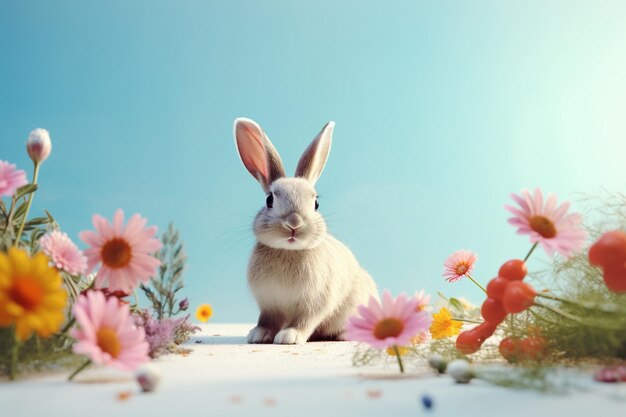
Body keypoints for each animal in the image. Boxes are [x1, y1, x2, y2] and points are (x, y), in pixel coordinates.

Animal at [233, 118, 376, 344]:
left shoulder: (316, 302)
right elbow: (267, 319)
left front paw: (289, 336)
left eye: (316, 203)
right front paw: (258, 334)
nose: (294, 223)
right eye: (269, 200)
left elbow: (305, 320)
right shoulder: (269, 303)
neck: (288, 251)